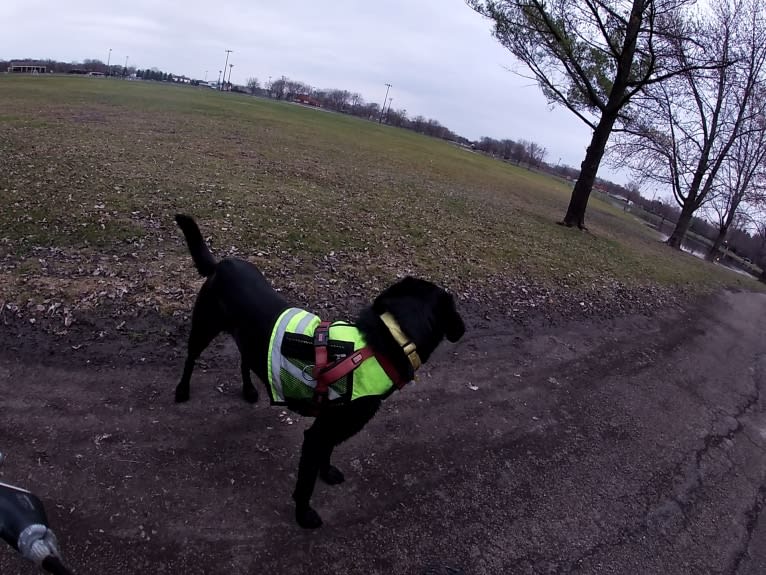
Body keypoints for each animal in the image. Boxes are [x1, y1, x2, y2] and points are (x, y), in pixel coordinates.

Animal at [174, 214, 464, 528]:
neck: (390, 340)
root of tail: (222, 264)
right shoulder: (318, 434)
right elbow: (306, 479)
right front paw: (304, 514)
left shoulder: (331, 427)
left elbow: (327, 452)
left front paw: (327, 473)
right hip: (204, 326)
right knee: (191, 358)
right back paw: (182, 390)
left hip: (245, 338)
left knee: (244, 359)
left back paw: (249, 390)